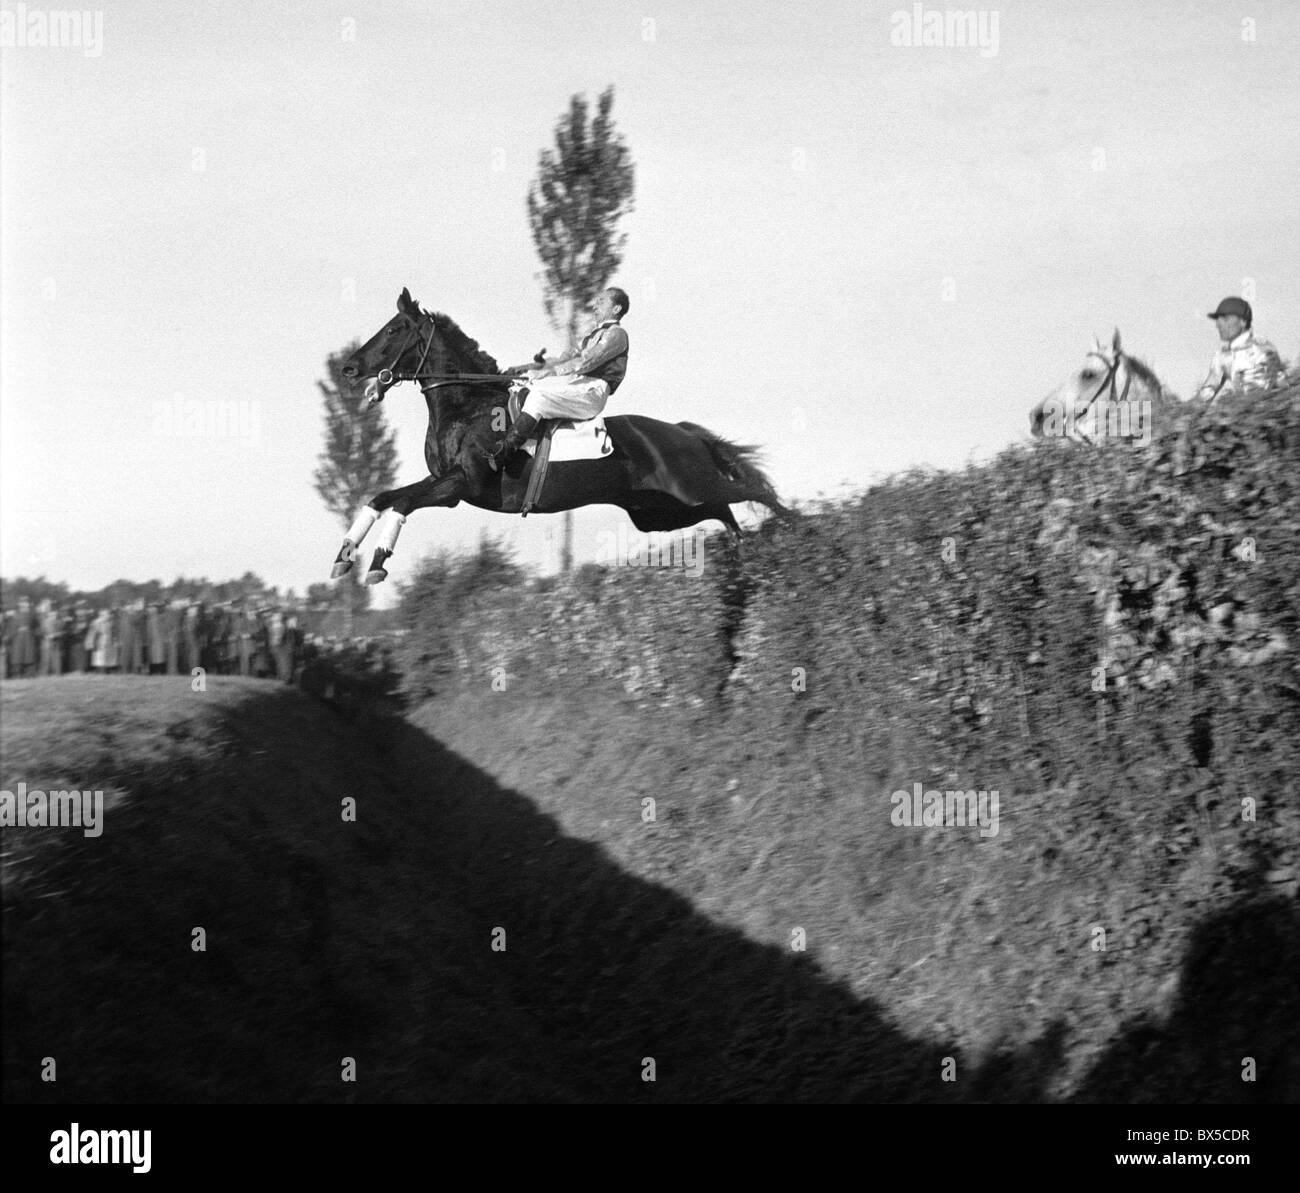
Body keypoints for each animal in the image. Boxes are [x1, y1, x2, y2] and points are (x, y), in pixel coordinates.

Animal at [330, 292, 785, 587]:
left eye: (394, 329)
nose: (349, 368)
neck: (468, 407)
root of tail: (682, 432)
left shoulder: (462, 486)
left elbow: (403, 504)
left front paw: (377, 562)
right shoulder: (441, 481)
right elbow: (382, 498)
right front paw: (344, 555)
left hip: (689, 486)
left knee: (751, 492)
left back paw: (786, 522)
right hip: (660, 511)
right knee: (723, 509)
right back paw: (742, 546)